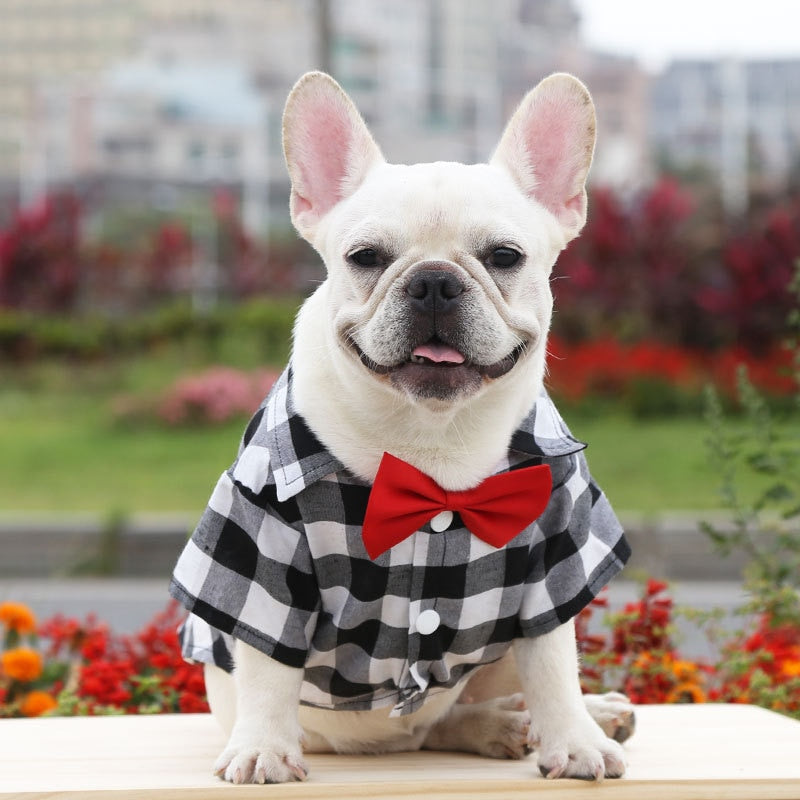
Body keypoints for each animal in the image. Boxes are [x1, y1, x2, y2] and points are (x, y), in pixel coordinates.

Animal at [172, 72, 636, 784]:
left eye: (505, 256)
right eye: (366, 257)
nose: (435, 282)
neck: (432, 440)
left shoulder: (556, 552)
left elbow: (554, 659)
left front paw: (576, 740)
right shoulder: (263, 545)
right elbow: (268, 663)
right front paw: (262, 749)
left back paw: (584, 714)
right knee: (431, 729)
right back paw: (500, 726)